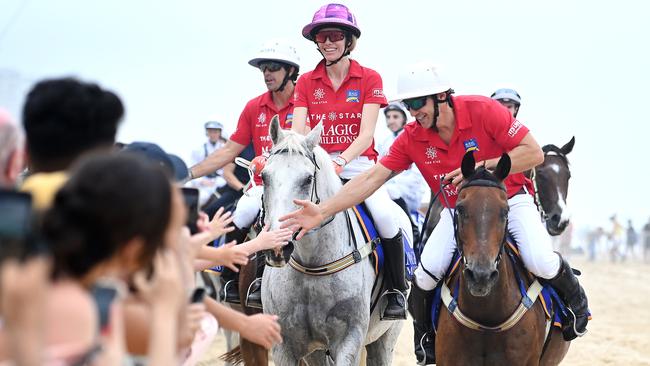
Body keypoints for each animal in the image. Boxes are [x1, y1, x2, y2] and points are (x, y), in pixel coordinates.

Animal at [260, 118, 408, 366]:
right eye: (264, 176)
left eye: (308, 179)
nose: (278, 247)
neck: (312, 265)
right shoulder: (283, 346)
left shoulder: (349, 340)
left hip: (385, 338)